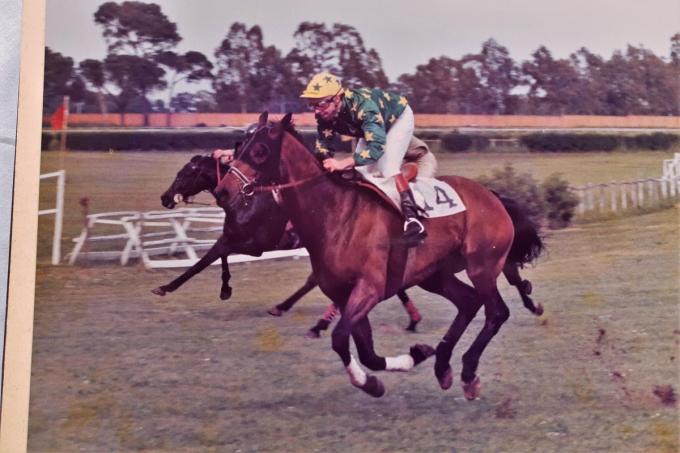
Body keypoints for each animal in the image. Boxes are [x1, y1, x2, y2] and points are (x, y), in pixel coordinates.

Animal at [153, 154, 424, 332]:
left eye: (185, 174)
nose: (165, 198)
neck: (245, 198)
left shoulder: (255, 244)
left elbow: (208, 258)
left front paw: (167, 287)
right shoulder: (234, 237)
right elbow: (220, 255)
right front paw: (224, 288)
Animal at [215, 111, 544, 398]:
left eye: (260, 151)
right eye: (240, 145)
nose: (222, 191)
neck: (335, 214)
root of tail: (493, 196)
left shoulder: (369, 288)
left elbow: (340, 339)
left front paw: (371, 380)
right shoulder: (343, 294)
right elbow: (366, 351)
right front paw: (411, 358)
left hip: (482, 266)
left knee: (496, 312)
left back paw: (467, 374)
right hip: (435, 275)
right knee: (469, 302)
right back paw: (442, 366)